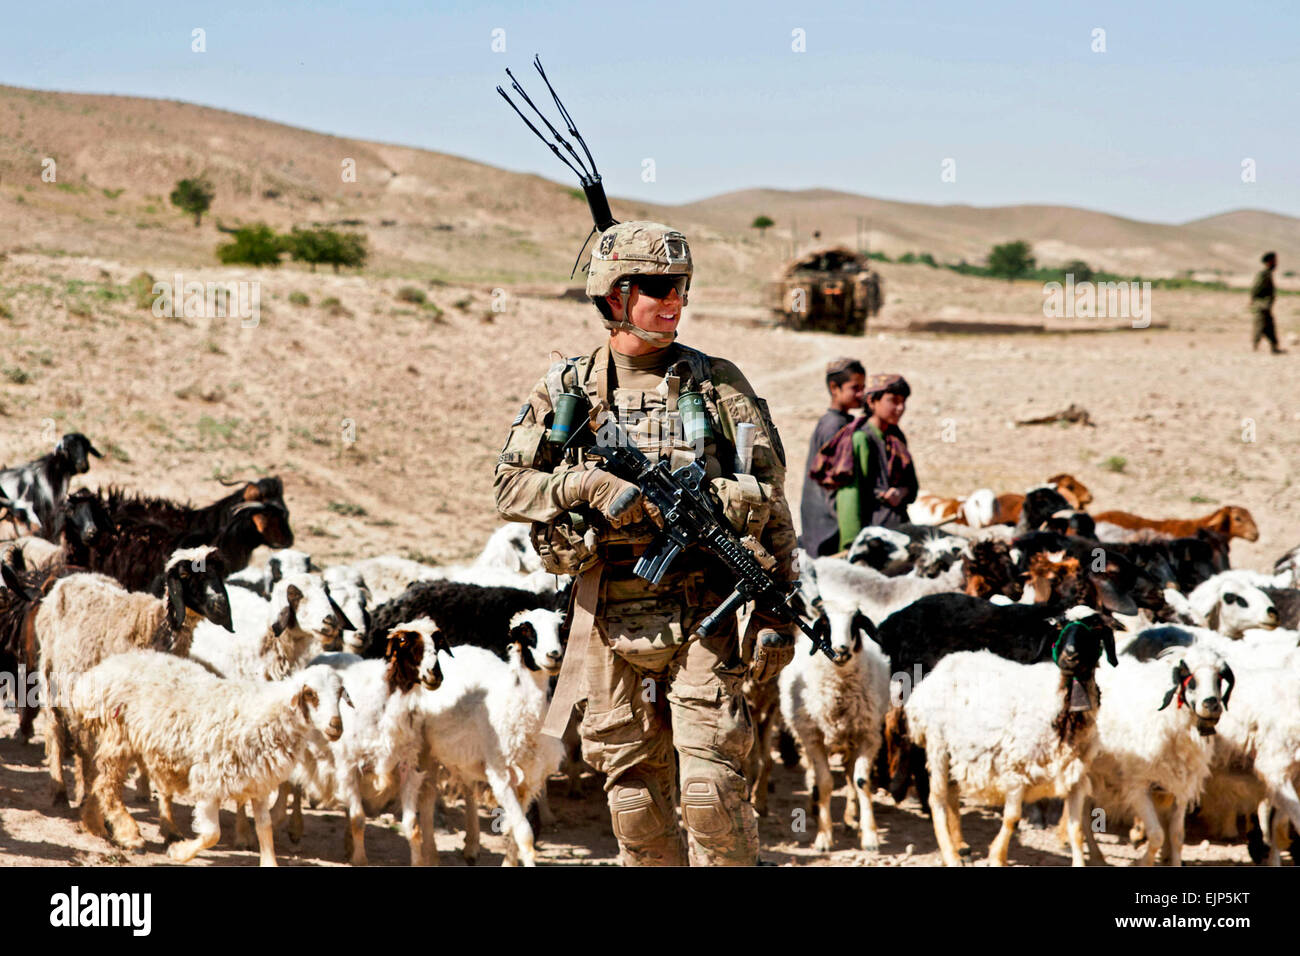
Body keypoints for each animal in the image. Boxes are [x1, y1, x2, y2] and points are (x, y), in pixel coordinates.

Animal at [71, 650, 345, 868]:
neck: (268, 716)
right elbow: (213, 834)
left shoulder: (258, 783)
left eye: (340, 693)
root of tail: (101, 670)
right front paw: (179, 852)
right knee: (107, 786)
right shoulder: (209, 780)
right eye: (310, 694)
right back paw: (129, 835)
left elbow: (264, 828)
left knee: (100, 782)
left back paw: (94, 824)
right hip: (118, 735)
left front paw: (269, 861)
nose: (337, 726)